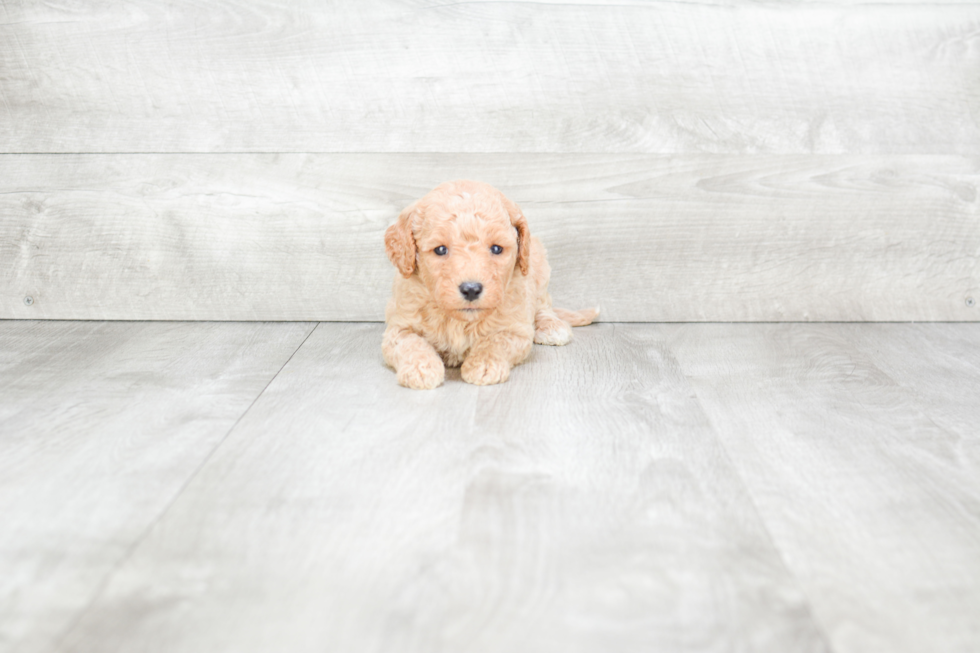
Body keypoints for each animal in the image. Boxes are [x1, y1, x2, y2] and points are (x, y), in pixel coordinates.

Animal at [380, 180, 596, 388]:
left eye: (496, 248)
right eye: (440, 249)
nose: (471, 289)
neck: (459, 321)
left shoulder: (516, 329)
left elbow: (495, 340)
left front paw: (484, 364)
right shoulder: (398, 327)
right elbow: (411, 343)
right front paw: (421, 368)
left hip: (539, 264)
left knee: (543, 305)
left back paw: (552, 326)